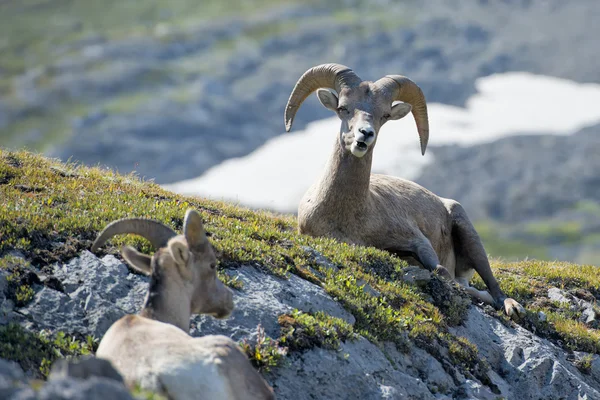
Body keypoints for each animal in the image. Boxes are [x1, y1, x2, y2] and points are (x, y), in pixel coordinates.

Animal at [284, 63, 524, 318]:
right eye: (342, 108)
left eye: (384, 115)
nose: (364, 135)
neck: (347, 216)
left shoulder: (418, 241)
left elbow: (441, 271)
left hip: (469, 235)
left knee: (492, 285)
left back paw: (512, 307)